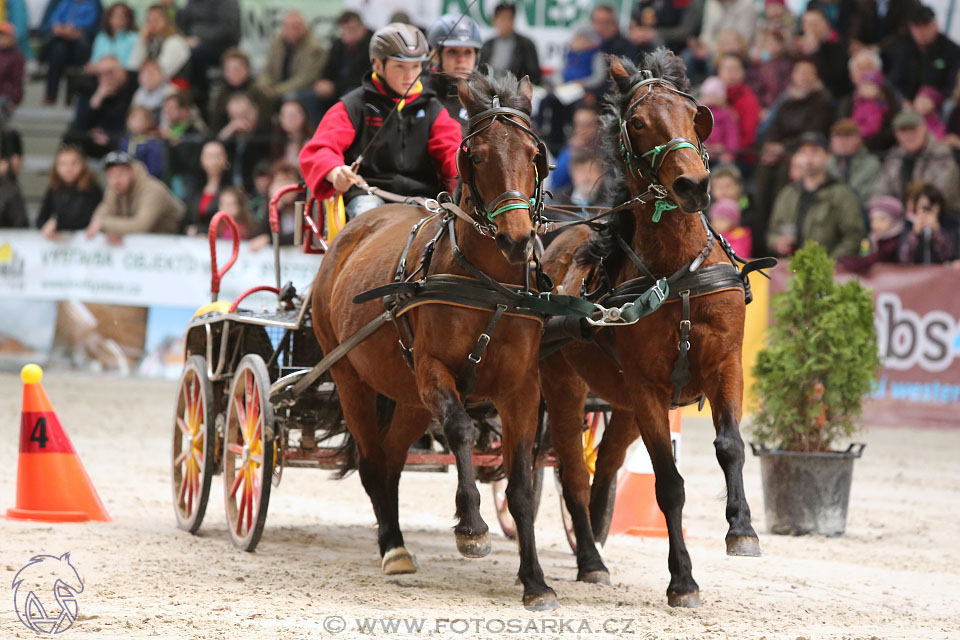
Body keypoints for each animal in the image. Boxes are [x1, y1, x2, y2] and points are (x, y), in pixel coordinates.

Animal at [312, 70, 560, 608]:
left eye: (534, 153)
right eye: (478, 156)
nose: (516, 238)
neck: (491, 289)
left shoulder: (522, 390)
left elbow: (522, 487)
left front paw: (535, 581)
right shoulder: (433, 372)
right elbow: (461, 430)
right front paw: (471, 527)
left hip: (407, 399)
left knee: (389, 462)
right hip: (350, 378)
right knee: (373, 464)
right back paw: (393, 547)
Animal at [544, 48, 760, 604]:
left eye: (695, 115)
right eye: (638, 123)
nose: (693, 186)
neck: (677, 275)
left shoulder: (725, 364)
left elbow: (731, 446)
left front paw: (742, 530)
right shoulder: (647, 388)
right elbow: (668, 483)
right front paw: (682, 579)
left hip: (618, 405)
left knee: (604, 469)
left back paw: (594, 539)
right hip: (564, 386)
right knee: (573, 473)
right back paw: (590, 558)